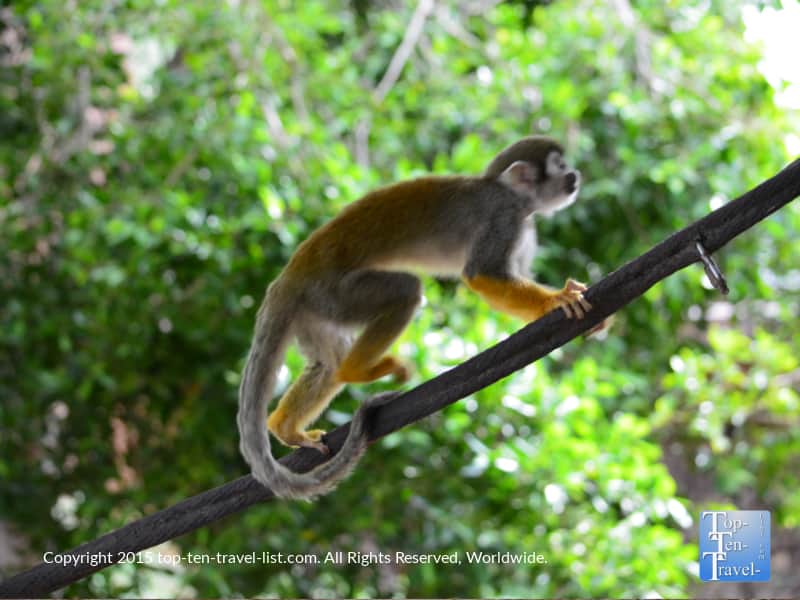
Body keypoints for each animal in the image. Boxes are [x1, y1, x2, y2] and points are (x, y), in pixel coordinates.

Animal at [237, 135, 592, 499]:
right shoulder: (503, 217)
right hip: (334, 292)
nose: (574, 175)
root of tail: (289, 277)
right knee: (405, 291)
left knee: (328, 363)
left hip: (316, 309)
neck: (514, 198)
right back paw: (358, 370)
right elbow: (481, 275)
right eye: (560, 166)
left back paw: (287, 425)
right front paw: (556, 300)